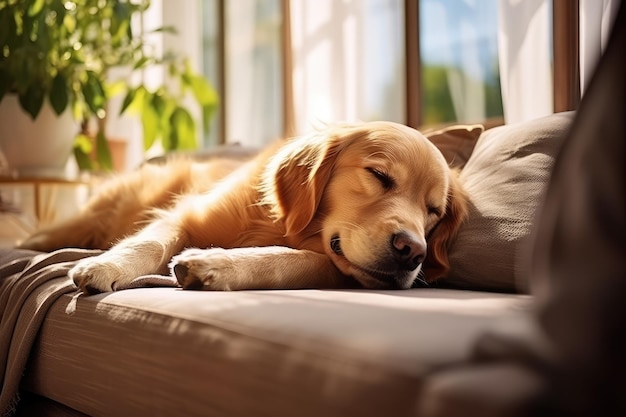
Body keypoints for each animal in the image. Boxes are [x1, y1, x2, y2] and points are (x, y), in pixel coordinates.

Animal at [19, 120, 466, 292]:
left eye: (434, 211)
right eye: (379, 175)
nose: (413, 252)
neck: (280, 223)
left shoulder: (332, 264)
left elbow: (290, 259)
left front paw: (213, 265)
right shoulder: (184, 214)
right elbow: (149, 242)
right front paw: (105, 266)